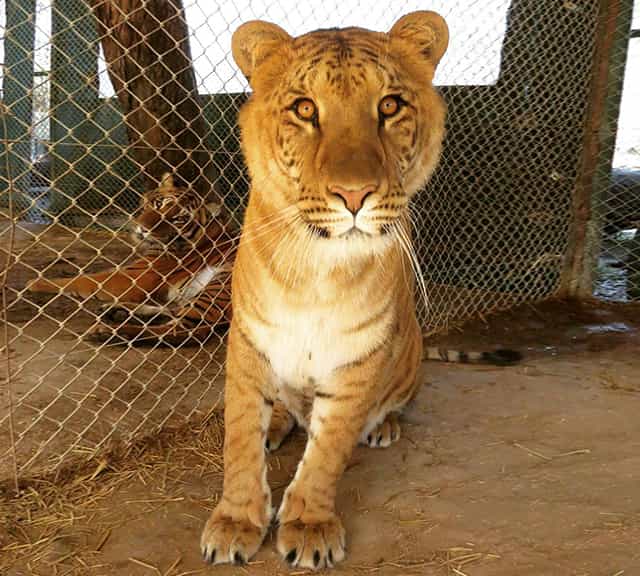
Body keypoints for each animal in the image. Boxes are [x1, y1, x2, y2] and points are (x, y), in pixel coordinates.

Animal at [26, 171, 238, 342]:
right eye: (158, 204)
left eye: (178, 219)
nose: (142, 229)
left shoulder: (133, 277)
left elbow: (81, 279)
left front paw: (35, 283)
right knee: (172, 312)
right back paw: (117, 310)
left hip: (221, 282)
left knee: (185, 330)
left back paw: (111, 331)